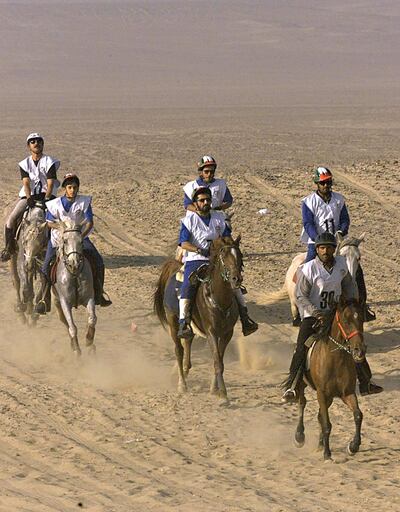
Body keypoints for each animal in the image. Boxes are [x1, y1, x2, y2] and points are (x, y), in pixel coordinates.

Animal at [51, 219, 97, 356]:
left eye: (81, 241)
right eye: (65, 241)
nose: (74, 263)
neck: (74, 274)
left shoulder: (89, 297)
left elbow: (92, 319)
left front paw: (89, 340)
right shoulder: (65, 302)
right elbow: (72, 327)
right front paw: (76, 349)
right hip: (56, 301)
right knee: (65, 321)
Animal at [152, 236, 241, 400]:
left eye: (239, 255)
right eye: (224, 257)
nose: (236, 278)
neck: (220, 300)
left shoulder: (227, 334)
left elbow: (219, 360)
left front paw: (214, 388)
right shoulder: (211, 332)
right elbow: (217, 362)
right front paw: (223, 393)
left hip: (191, 328)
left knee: (187, 343)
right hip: (172, 321)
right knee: (179, 350)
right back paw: (182, 385)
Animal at [294, 298, 366, 462]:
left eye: (362, 319)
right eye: (346, 320)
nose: (359, 350)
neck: (335, 359)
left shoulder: (347, 393)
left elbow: (358, 415)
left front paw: (353, 446)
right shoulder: (321, 393)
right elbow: (327, 424)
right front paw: (327, 454)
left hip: (330, 398)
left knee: (320, 415)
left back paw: (320, 444)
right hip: (303, 385)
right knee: (302, 403)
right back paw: (299, 436)